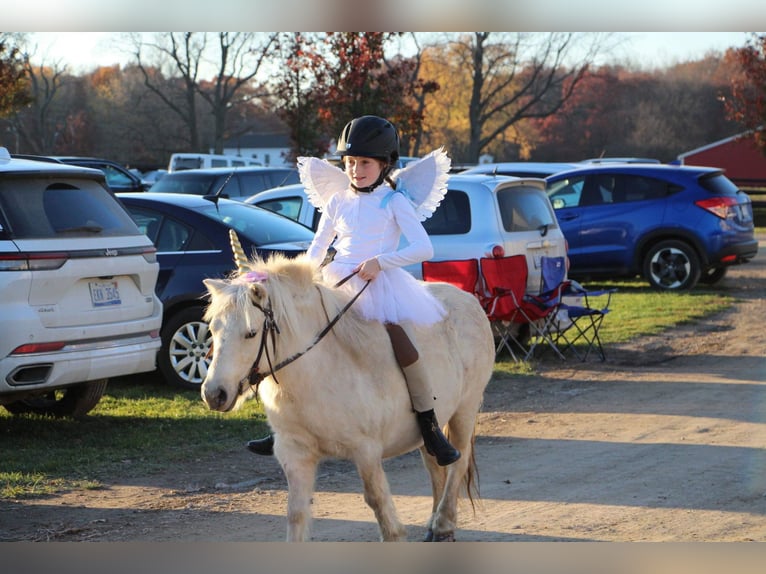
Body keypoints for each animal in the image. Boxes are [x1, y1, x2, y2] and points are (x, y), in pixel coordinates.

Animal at [201, 250, 496, 544]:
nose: (214, 394)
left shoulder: (366, 451)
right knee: (435, 467)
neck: (317, 372)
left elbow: (381, 509)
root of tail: (469, 300)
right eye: (213, 329)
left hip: (465, 409)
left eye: (251, 333)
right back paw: (435, 523)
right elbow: (296, 514)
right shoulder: (295, 453)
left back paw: (444, 524)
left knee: (458, 463)